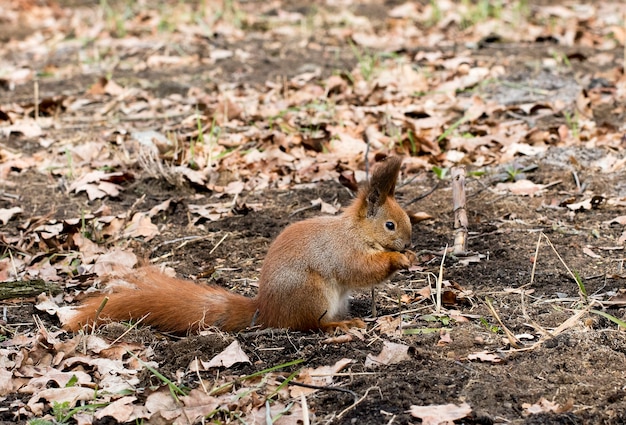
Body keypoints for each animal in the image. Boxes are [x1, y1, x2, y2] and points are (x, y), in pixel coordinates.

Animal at [64, 154, 414, 332]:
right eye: (390, 225)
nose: (408, 244)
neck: (357, 231)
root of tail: (267, 310)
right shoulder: (343, 251)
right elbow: (359, 269)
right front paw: (398, 260)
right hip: (312, 295)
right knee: (307, 325)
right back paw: (340, 326)